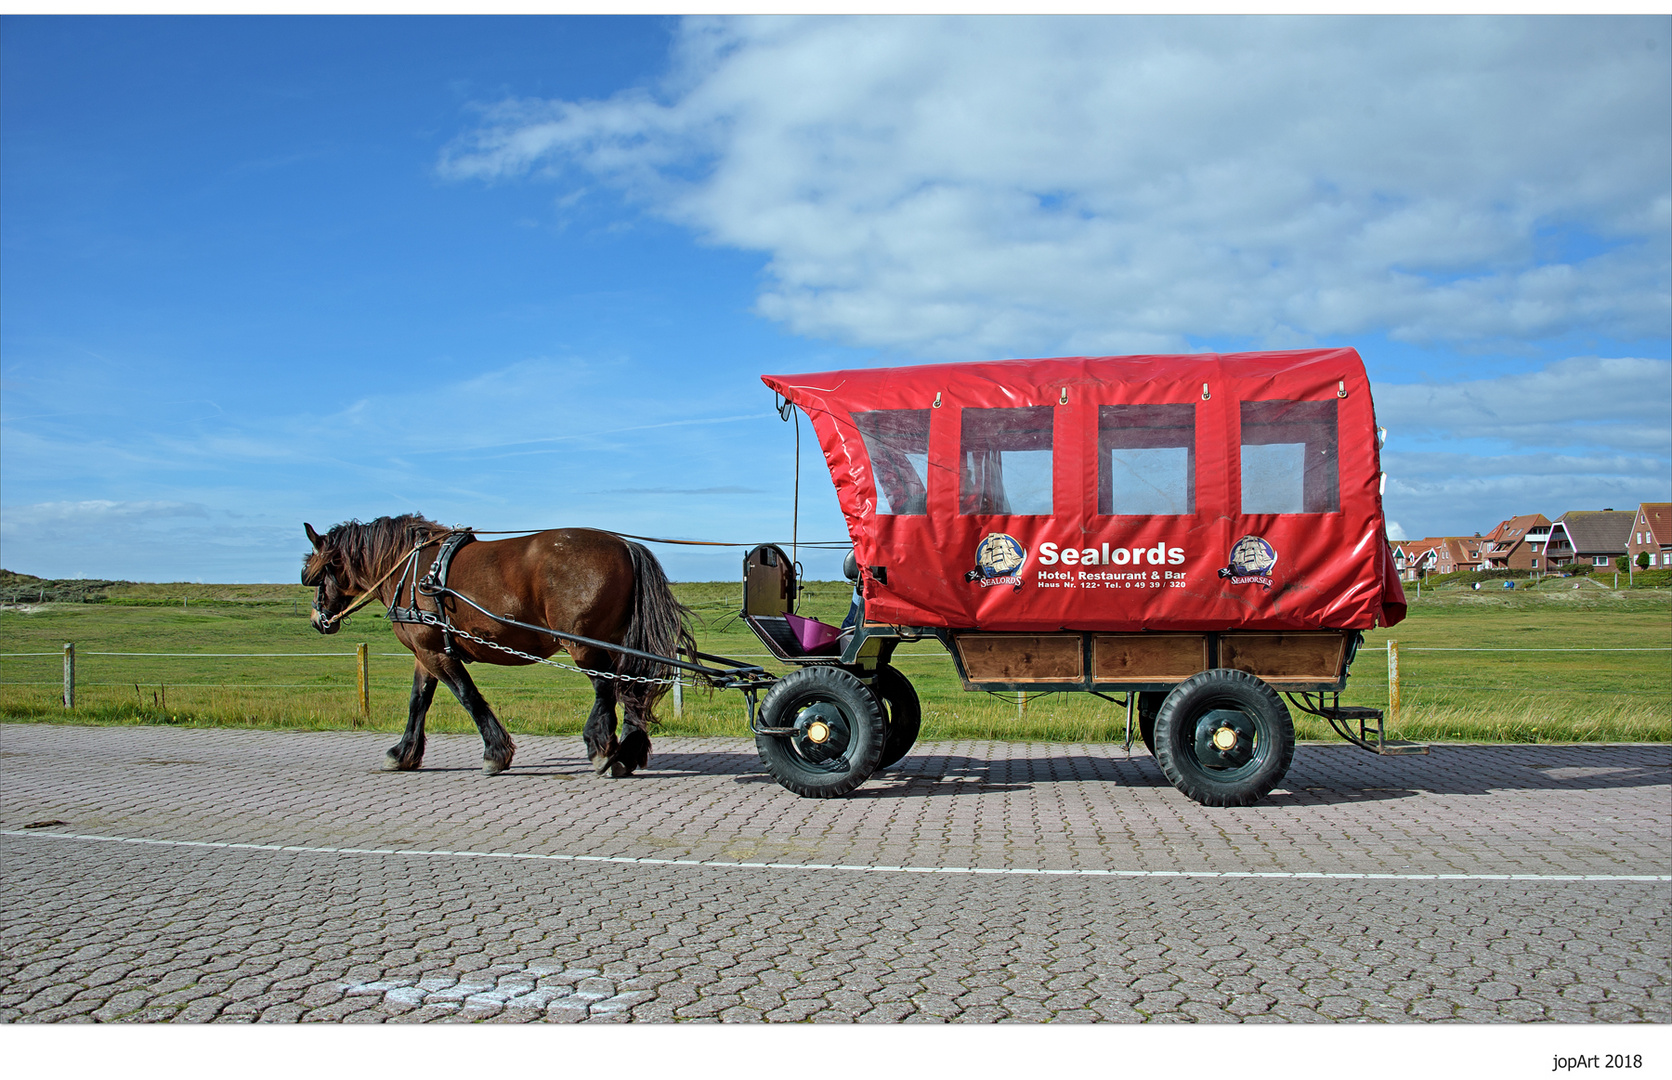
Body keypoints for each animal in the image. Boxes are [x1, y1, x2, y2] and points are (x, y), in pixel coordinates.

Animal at [300, 514, 692, 779]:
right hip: (617, 641)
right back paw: (626, 754)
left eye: (316, 575)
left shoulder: (435, 651)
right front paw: (403, 754)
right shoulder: (424, 654)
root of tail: (626, 545)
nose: (318, 620)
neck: (412, 571)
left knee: (606, 687)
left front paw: (496, 753)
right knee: (632, 690)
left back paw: (600, 746)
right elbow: (418, 701)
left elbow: (467, 696)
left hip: (583, 643)